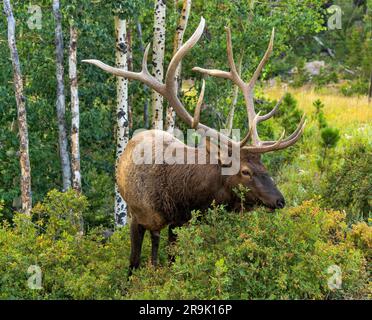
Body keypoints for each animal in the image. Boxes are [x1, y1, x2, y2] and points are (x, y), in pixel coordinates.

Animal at [83, 17, 306, 274]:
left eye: (265, 167)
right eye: (245, 171)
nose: (280, 200)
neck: (183, 196)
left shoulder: (180, 222)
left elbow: (171, 262)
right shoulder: (136, 218)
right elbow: (133, 264)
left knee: (156, 246)